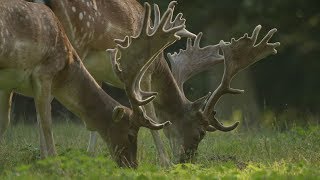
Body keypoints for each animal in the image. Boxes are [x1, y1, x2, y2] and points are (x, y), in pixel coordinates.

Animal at [0, 0, 188, 167]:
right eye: (130, 133)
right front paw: (165, 162)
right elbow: (151, 113)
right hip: (77, 42)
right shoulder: (146, 76)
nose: (133, 165)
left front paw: (89, 156)